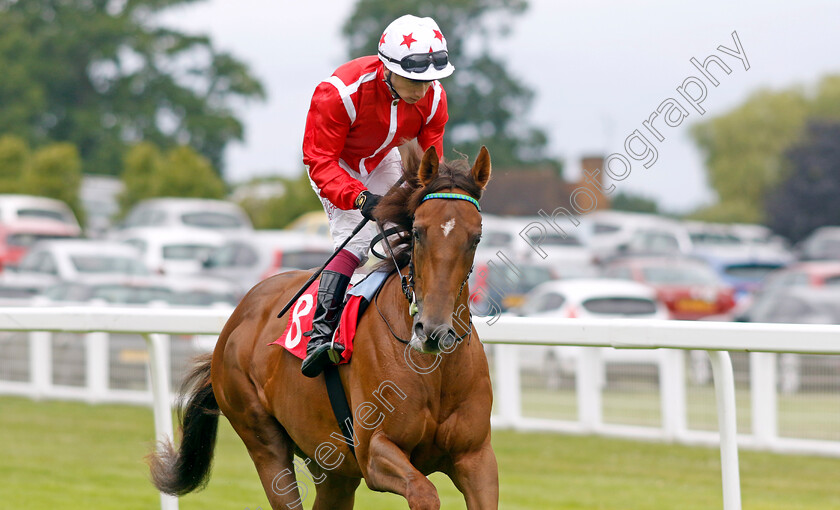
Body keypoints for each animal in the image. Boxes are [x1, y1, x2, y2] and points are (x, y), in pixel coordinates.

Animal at [149, 144, 498, 510]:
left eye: (476, 237)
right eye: (417, 231)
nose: (433, 330)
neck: (436, 371)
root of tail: (238, 316)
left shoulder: (476, 457)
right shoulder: (374, 451)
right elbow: (425, 494)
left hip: (331, 464)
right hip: (263, 440)